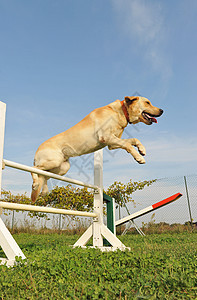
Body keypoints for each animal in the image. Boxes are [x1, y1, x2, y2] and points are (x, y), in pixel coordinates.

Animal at [31, 97, 163, 203]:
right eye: (147, 102)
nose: (162, 110)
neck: (120, 111)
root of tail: (36, 152)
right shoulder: (106, 137)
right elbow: (128, 145)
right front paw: (139, 158)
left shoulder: (112, 144)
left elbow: (133, 140)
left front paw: (142, 149)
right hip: (53, 161)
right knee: (35, 169)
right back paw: (35, 183)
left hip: (62, 167)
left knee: (44, 175)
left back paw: (43, 191)